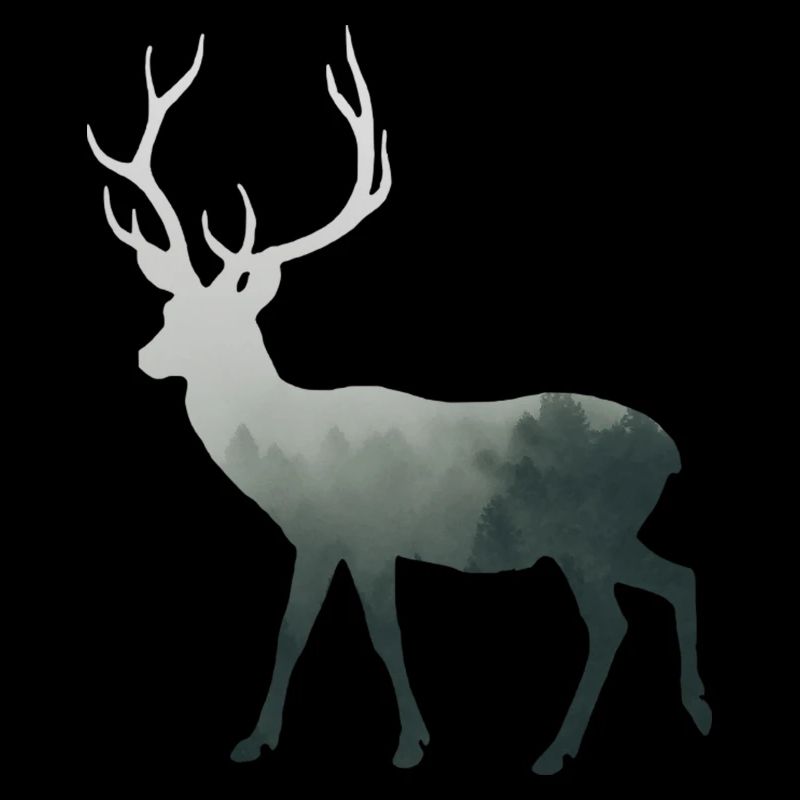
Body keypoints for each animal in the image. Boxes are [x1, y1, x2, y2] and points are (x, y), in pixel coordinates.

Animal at [86, 27, 712, 774]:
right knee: (675, 579)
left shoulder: (370, 532)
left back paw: (556, 750)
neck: (285, 447)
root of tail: (669, 452)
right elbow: (291, 630)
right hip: (609, 534)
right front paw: (255, 739)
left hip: (586, 533)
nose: (145, 358)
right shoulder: (318, 536)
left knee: (615, 616)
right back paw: (696, 711)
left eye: (216, 325)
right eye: (169, 308)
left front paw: (410, 744)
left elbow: (383, 632)